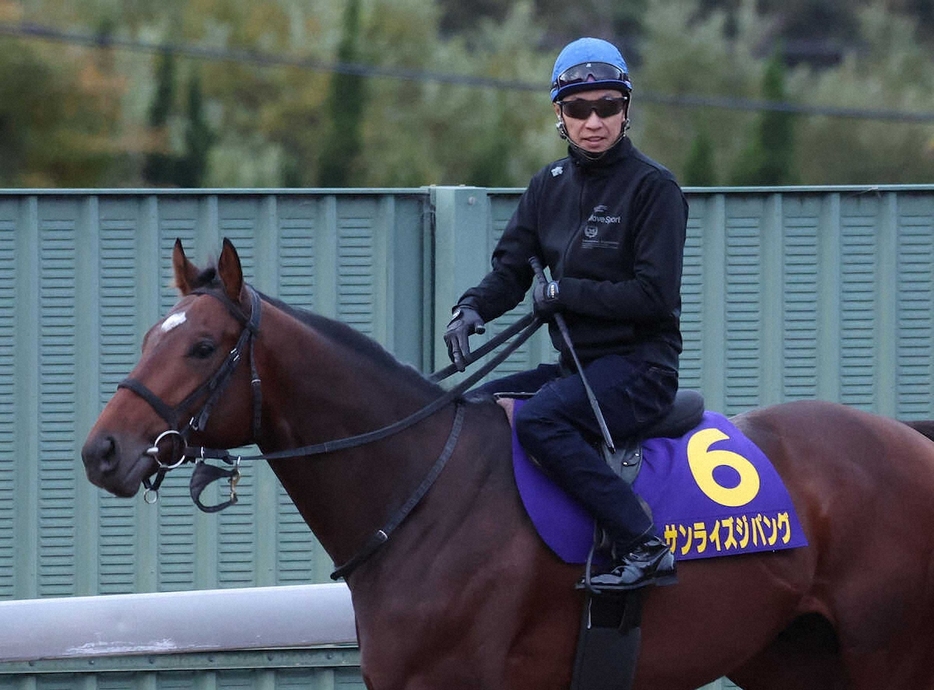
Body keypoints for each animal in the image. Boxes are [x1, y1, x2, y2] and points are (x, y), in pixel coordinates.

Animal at [78, 238, 934, 688]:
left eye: (201, 345)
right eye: (150, 335)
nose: (102, 450)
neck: (421, 493)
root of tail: (909, 440)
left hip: (887, 658)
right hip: (792, 657)